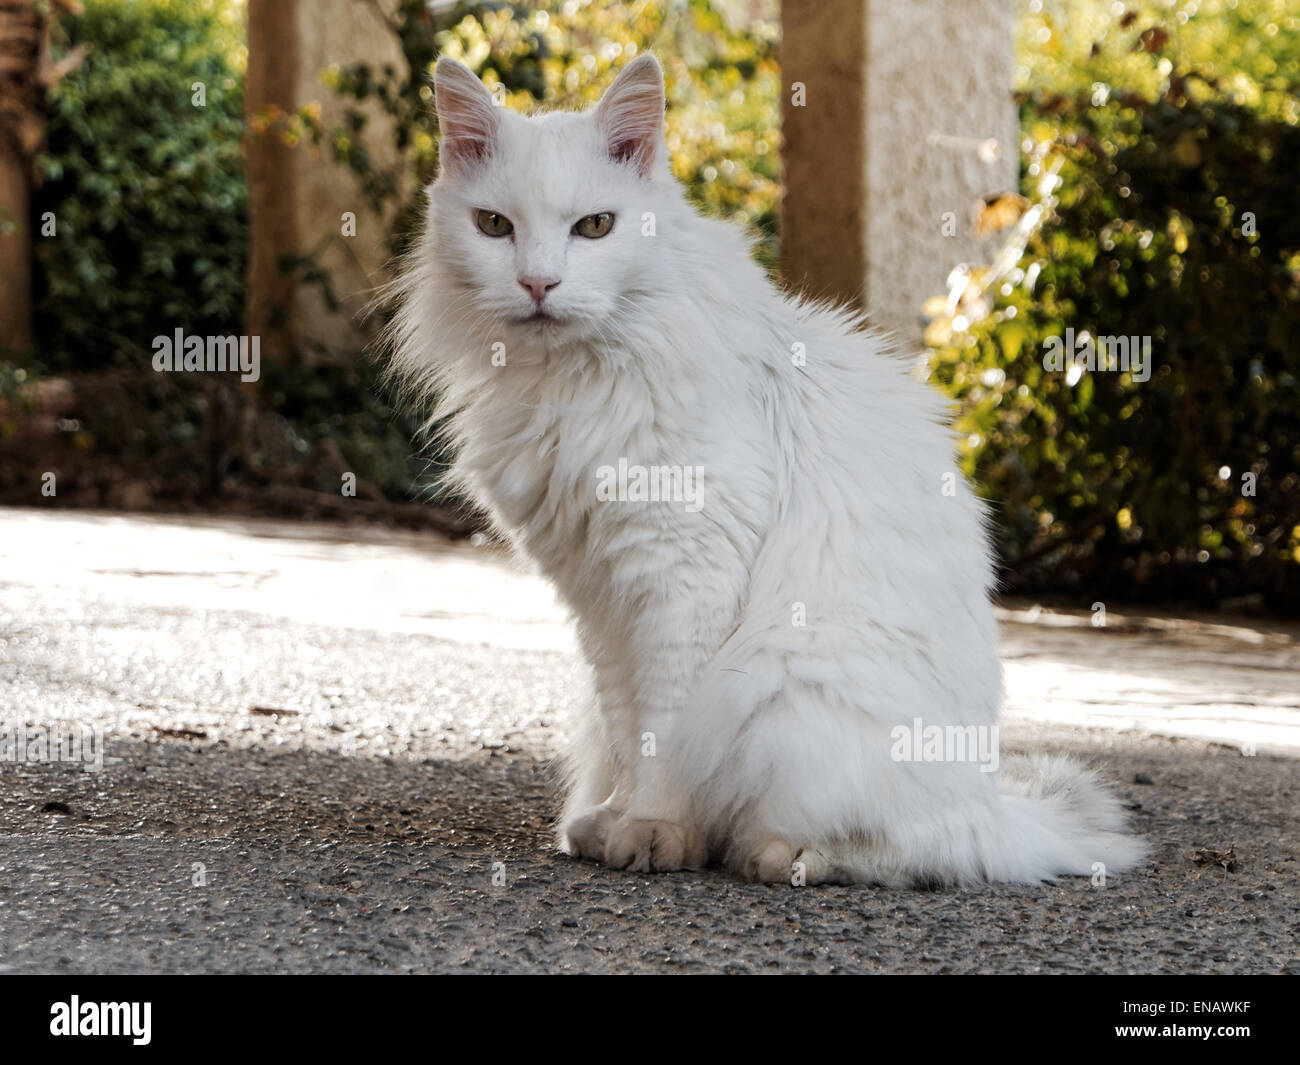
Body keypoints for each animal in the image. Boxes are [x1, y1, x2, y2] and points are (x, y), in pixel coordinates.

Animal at [387, 54, 1149, 889]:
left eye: (595, 227)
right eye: (495, 226)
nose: (538, 284)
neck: (570, 380)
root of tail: (998, 804)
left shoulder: (682, 579)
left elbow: (663, 731)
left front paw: (654, 831)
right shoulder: (600, 596)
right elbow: (625, 723)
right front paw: (612, 819)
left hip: (801, 691)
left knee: (918, 849)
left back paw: (786, 855)